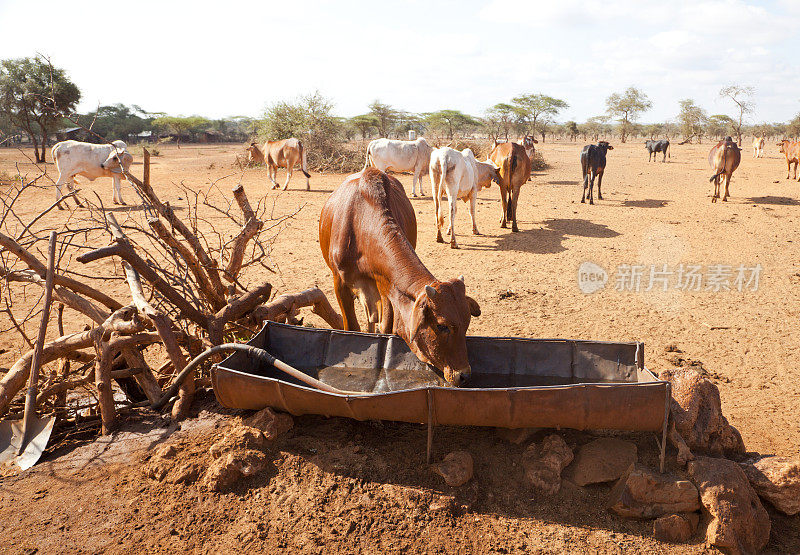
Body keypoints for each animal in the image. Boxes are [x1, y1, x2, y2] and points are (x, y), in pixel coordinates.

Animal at [318, 168, 482, 386]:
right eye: (442, 326)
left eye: (467, 322)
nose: (463, 374)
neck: (361, 223)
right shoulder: (340, 284)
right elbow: (351, 327)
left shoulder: (386, 289)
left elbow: (385, 330)